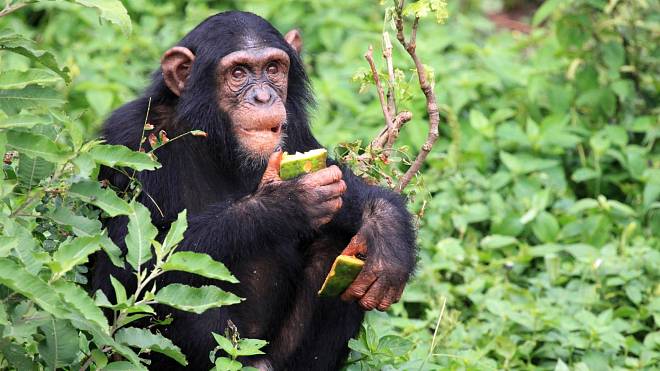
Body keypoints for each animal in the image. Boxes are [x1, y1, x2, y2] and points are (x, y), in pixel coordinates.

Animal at [91, 10, 416, 370]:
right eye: (238, 72)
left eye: (273, 69)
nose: (263, 97)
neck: (216, 140)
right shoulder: (130, 138)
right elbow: (122, 273)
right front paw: (283, 204)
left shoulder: (296, 130)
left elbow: (339, 179)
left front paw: (387, 229)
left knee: (338, 243)